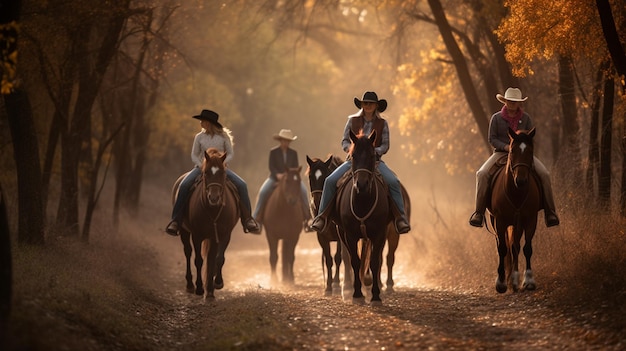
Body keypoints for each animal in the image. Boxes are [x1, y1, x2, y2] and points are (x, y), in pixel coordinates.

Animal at [169, 148, 238, 300]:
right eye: (206, 172)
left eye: (223, 173)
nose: (214, 197)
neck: (212, 210)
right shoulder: (197, 235)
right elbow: (199, 260)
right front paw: (200, 288)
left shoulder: (222, 235)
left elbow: (217, 258)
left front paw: (215, 285)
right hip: (184, 230)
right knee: (188, 252)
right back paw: (190, 285)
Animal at [332, 131, 390, 304]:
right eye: (353, 155)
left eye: (372, 155)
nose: (362, 185)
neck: (363, 201)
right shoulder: (350, 235)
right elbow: (355, 262)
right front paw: (357, 294)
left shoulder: (379, 234)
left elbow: (374, 262)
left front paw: (376, 295)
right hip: (342, 233)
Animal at [486, 129, 540, 294]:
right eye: (512, 151)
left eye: (530, 151)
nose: (520, 181)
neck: (516, 193)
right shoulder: (500, 222)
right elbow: (502, 249)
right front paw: (501, 283)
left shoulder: (530, 220)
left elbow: (526, 248)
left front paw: (528, 281)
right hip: (496, 223)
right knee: (504, 246)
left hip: (517, 225)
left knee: (515, 247)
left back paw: (515, 281)